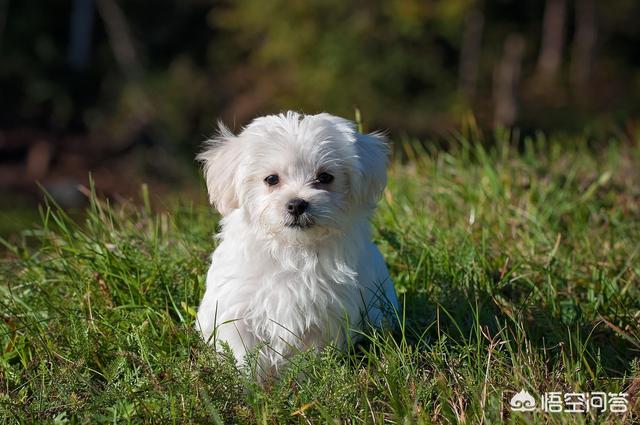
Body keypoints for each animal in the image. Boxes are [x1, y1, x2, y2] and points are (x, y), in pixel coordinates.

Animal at [195, 110, 398, 374]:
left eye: (325, 177)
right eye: (271, 179)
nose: (297, 204)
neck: (292, 249)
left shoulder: (324, 315)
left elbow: (309, 355)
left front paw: (305, 378)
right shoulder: (237, 309)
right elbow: (243, 354)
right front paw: (248, 382)